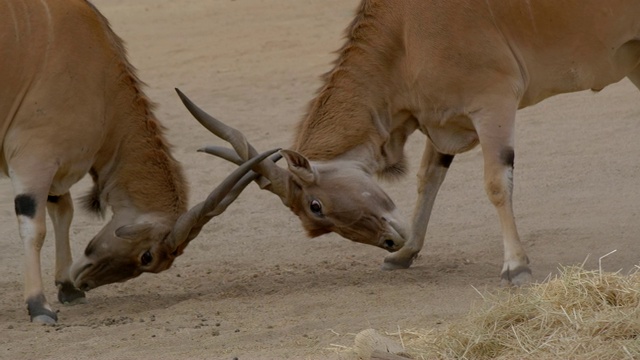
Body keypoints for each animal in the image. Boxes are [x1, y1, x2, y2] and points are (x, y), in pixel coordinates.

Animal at [2, 0, 278, 324]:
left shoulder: (55, 169)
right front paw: (39, 306)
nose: (85, 281)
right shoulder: (34, 159)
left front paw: (67, 288)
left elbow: (63, 213)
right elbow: (36, 229)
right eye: (148, 256)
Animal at [179, 0, 640, 286]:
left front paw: (515, 267)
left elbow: (495, 183)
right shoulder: (445, 120)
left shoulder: (493, 103)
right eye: (315, 220)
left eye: (316, 205)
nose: (390, 241)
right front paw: (406, 255)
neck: (405, 28)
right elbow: (427, 178)